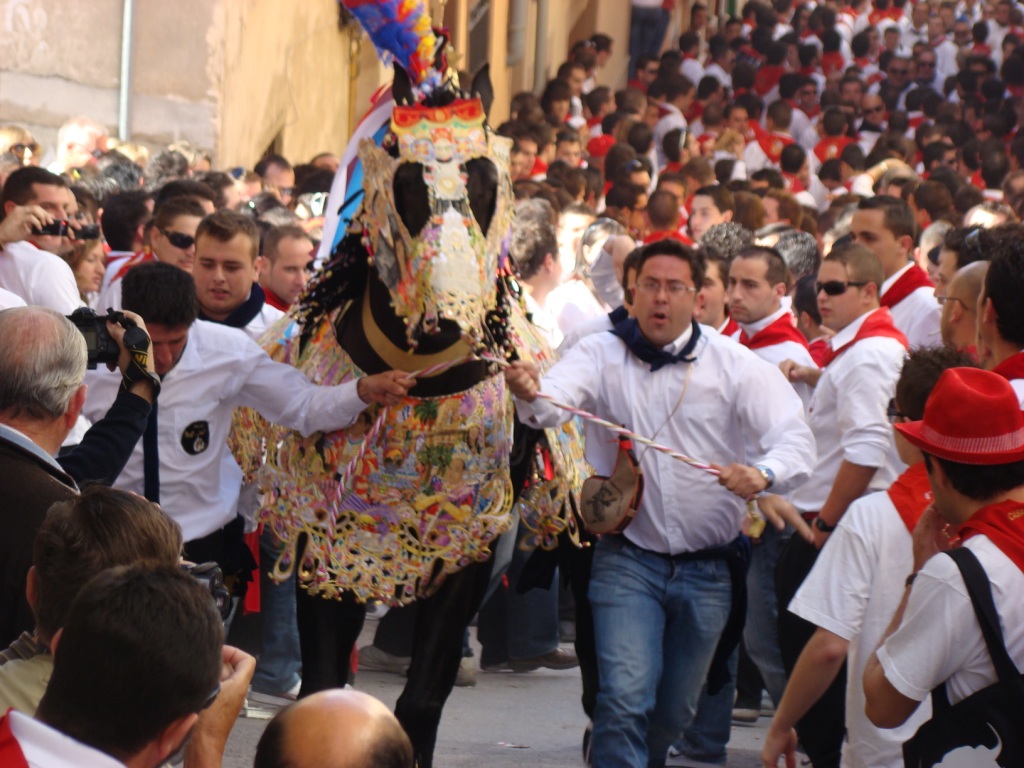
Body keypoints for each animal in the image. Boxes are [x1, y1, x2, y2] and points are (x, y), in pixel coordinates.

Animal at [231, 3, 585, 765]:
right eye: (403, 172)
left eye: (489, 178)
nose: (449, 322)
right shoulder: (326, 537)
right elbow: (324, 683)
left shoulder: (467, 548)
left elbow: (424, 694)